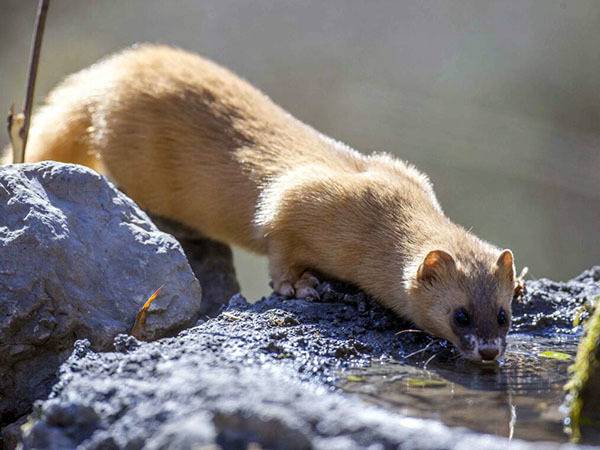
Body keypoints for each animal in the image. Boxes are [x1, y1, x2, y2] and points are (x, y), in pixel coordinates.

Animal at [17, 44, 516, 362]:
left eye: (504, 314)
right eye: (459, 314)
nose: (490, 351)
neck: (386, 205)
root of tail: (108, 73)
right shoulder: (296, 199)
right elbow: (279, 241)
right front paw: (302, 286)